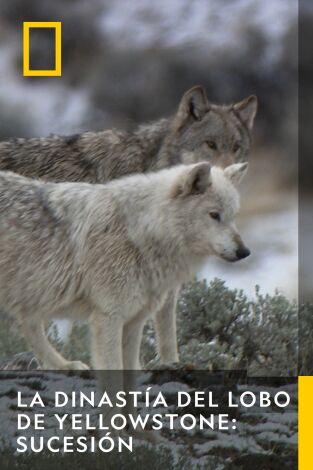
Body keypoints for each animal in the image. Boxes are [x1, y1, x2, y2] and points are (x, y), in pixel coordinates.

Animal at [0, 89, 256, 368]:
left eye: (232, 216)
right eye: (214, 215)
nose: (244, 252)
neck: (140, 232)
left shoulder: (137, 316)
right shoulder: (110, 316)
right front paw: (172, 364)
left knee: (28, 323)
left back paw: (63, 365)